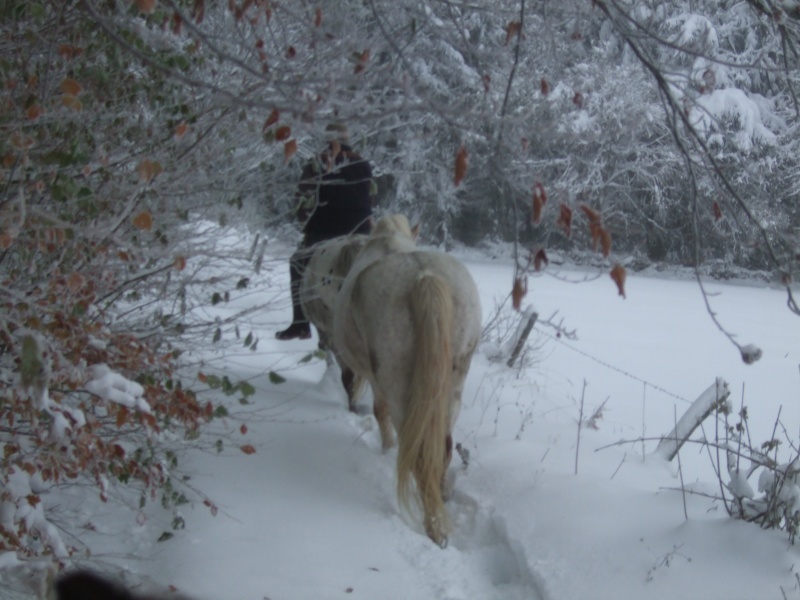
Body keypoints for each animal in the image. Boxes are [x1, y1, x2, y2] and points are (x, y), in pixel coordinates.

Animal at [332, 216, 482, 548]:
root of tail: (423, 277)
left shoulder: (376, 380)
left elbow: (380, 412)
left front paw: (386, 449)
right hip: (453, 386)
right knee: (443, 450)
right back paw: (441, 502)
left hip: (399, 385)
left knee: (420, 455)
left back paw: (434, 529)